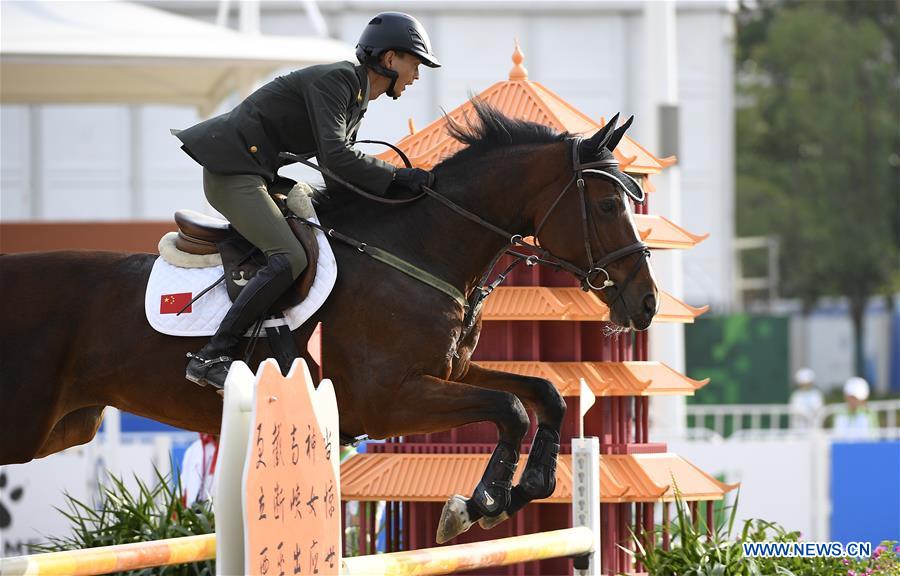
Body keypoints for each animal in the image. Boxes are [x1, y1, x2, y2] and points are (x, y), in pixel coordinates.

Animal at [1, 101, 660, 544]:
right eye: (608, 205)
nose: (647, 303)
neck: (419, 248)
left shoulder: (449, 372)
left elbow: (542, 392)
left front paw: (526, 488)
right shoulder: (388, 400)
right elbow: (511, 409)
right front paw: (479, 503)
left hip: (65, 426)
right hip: (25, 424)